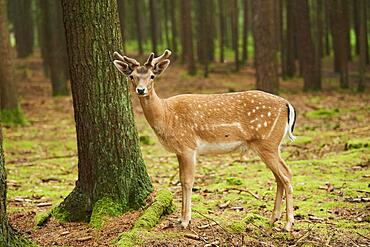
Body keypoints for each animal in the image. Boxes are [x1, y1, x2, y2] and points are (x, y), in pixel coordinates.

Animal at [112, 49, 298, 232]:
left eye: (152, 76)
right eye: (132, 76)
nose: (141, 90)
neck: (166, 116)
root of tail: (286, 104)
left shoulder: (188, 146)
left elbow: (187, 181)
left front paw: (185, 221)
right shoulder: (180, 150)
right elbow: (181, 179)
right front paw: (181, 218)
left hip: (268, 142)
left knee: (286, 174)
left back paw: (288, 224)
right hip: (271, 145)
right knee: (279, 177)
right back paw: (273, 219)